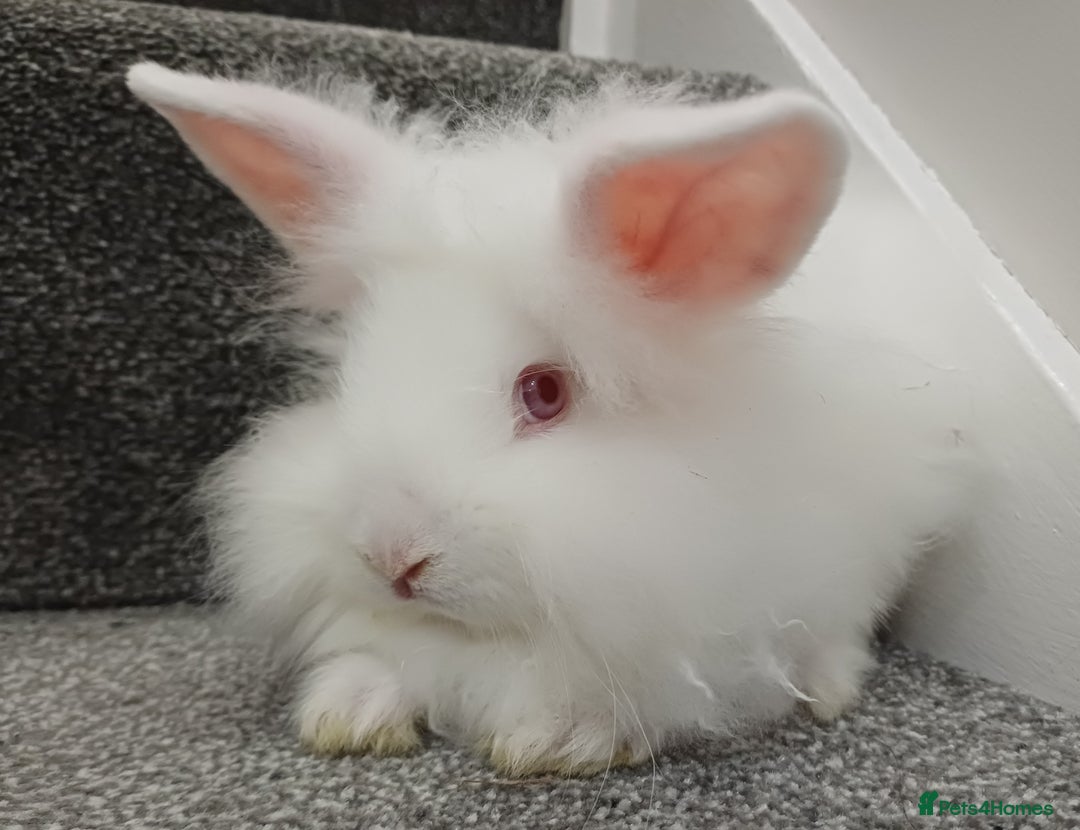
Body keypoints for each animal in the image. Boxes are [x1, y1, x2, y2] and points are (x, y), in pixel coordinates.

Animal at [127, 62, 977, 776]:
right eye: (345, 380)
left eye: (544, 394)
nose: (393, 557)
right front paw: (350, 714)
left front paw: (557, 743)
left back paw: (829, 690)